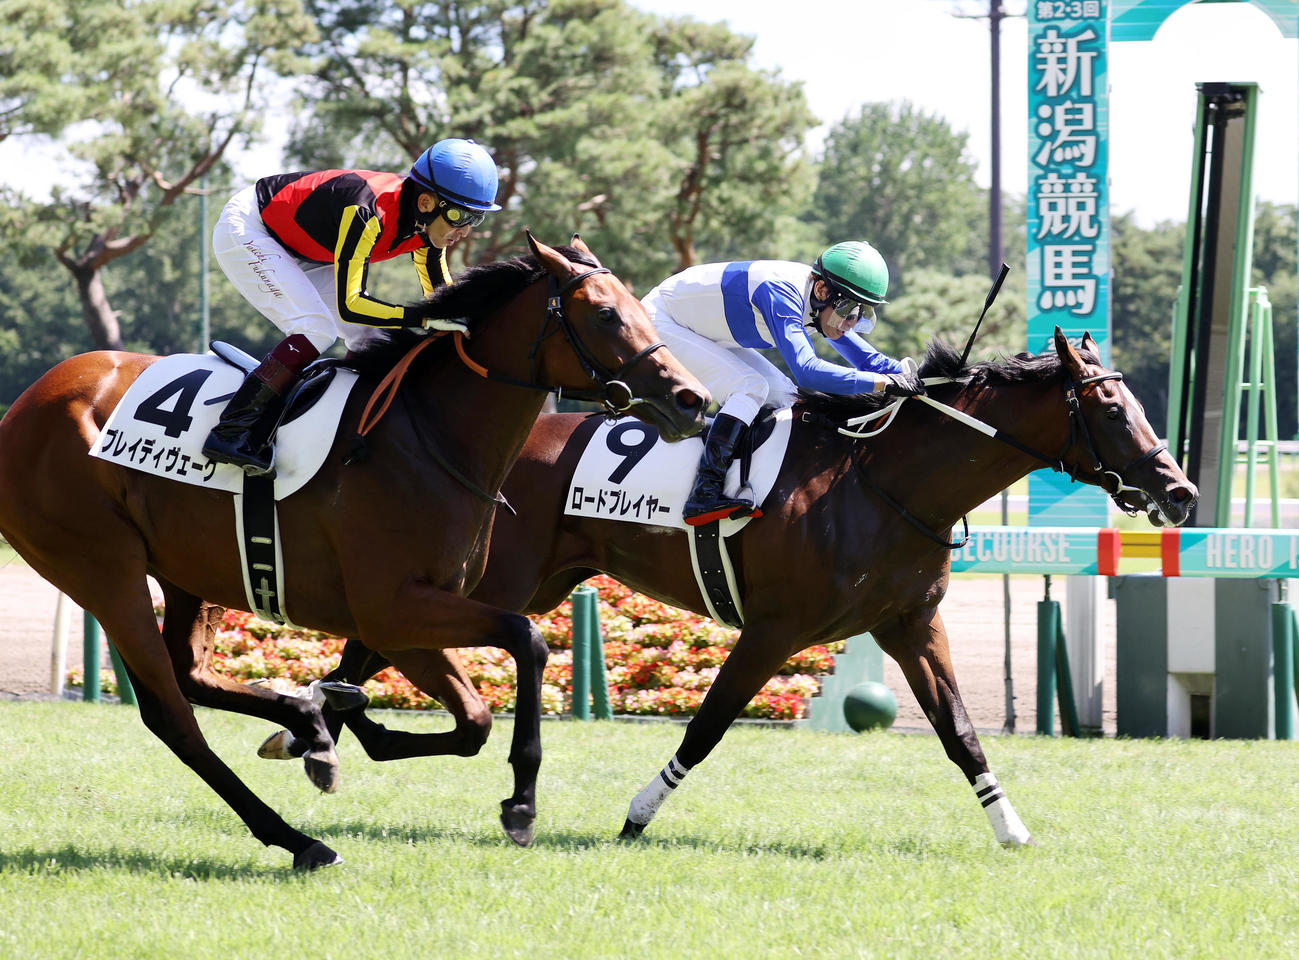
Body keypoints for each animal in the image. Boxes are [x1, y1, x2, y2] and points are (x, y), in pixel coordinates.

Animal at [0, 233, 710, 869]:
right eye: (606, 313)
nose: (692, 399)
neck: (430, 436)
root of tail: (28, 402)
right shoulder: (392, 608)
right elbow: (525, 642)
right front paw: (521, 806)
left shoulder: (408, 617)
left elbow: (473, 720)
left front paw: (332, 717)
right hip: (104, 570)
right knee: (169, 712)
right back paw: (299, 840)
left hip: (186, 573)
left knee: (191, 673)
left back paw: (306, 726)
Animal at [262, 327, 1196, 848]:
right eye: (1112, 410)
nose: (1181, 492)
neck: (885, 482)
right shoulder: (776, 629)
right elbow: (708, 726)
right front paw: (638, 813)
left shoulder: (909, 626)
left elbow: (961, 734)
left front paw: (1010, 828)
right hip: (494, 579)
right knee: (373, 633)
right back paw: (309, 721)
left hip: (520, 584)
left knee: (375, 639)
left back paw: (314, 721)